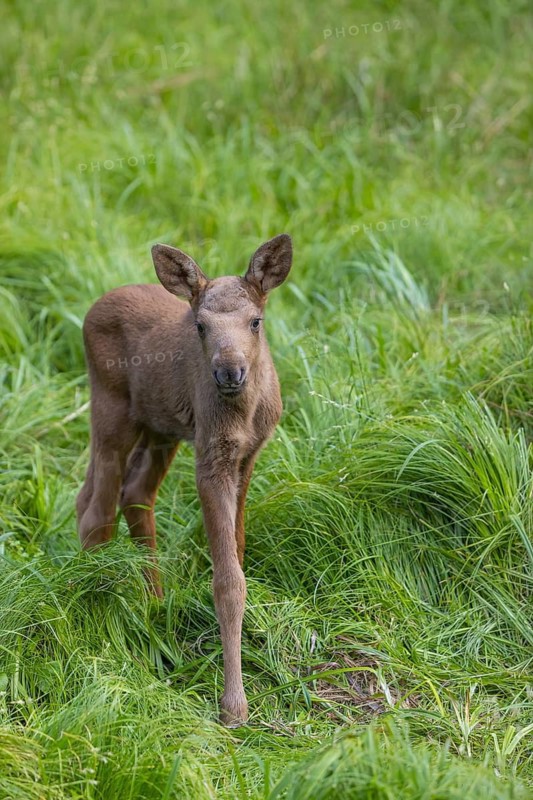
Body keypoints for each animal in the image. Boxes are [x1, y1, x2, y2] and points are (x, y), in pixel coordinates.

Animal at [76, 233, 293, 725]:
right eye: (200, 326)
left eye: (256, 321)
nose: (229, 371)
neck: (245, 412)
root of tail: (93, 307)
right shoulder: (211, 458)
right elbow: (227, 582)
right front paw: (234, 705)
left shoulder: (248, 456)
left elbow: (238, 550)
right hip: (111, 411)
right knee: (97, 510)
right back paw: (94, 613)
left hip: (159, 427)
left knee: (126, 493)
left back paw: (153, 602)